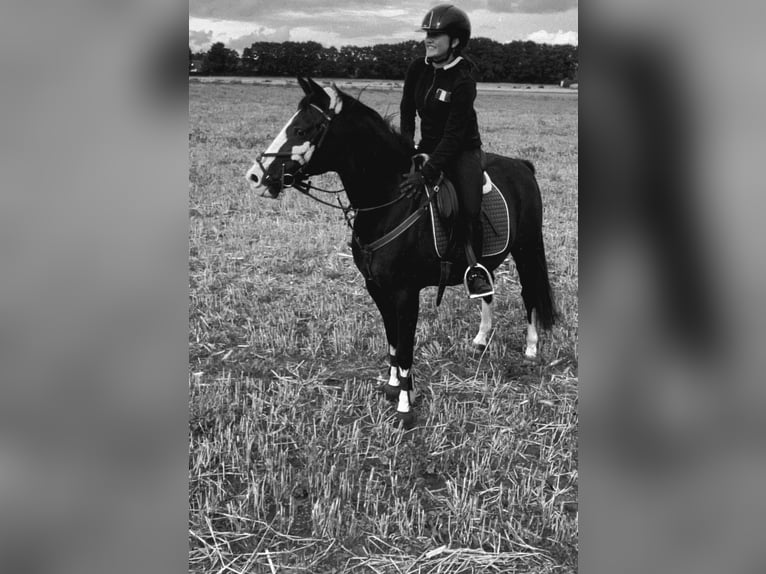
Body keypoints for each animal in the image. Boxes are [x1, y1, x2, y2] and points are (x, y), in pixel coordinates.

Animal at [246, 77, 556, 428]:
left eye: (301, 130)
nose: (256, 176)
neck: (391, 200)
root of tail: (522, 166)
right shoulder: (377, 287)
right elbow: (392, 340)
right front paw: (394, 385)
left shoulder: (406, 292)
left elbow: (406, 346)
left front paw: (405, 405)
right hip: (488, 260)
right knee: (487, 291)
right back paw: (480, 339)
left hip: (526, 248)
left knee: (530, 294)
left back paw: (530, 348)